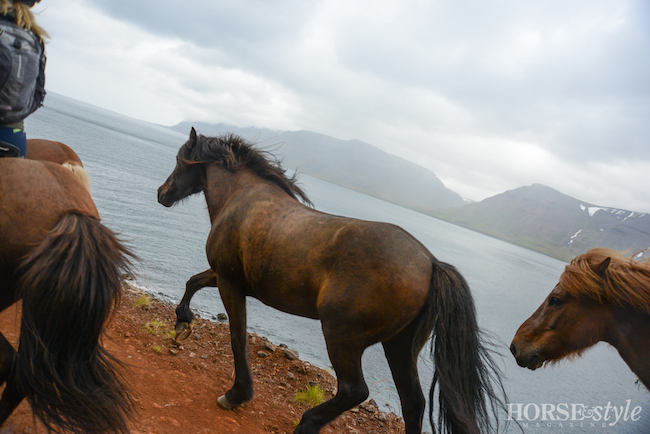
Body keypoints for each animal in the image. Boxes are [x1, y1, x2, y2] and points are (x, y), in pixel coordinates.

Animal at [157, 130, 506, 434]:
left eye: (178, 159)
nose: (162, 193)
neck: (242, 198)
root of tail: (430, 263)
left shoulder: (230, 283)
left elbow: (237, 338)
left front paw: (236, 394)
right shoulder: (226, 277)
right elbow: (193, 282)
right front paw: (182, 323)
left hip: (342, 336)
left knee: (355, 390)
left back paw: (308, 423)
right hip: (400, 345)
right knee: (413, 403)